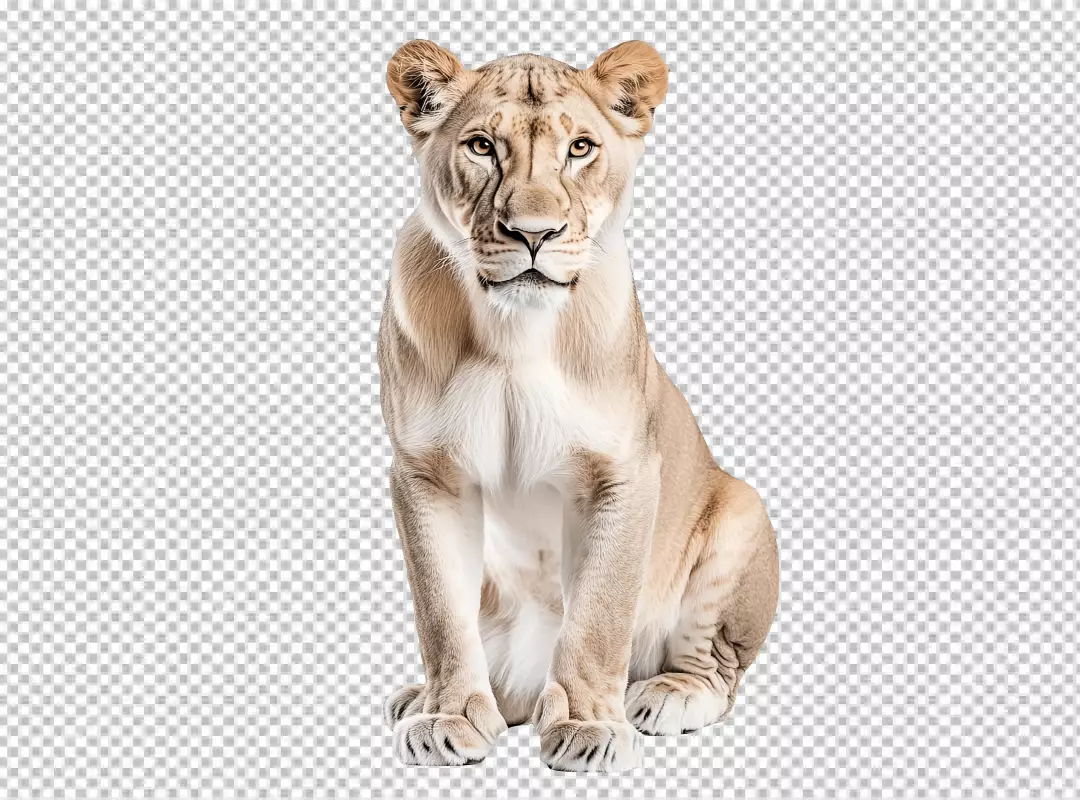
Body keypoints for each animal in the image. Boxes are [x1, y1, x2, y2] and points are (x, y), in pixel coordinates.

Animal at [378, 40, 779, 772]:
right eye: (482, 146)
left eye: (581, 148)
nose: (533, 232)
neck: (513, 332)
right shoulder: (426, 473)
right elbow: (441, 614)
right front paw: (449, 716)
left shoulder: (621, 472)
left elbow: (598, 612)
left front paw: (590, 727)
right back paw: (430, 698)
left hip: (743, 511)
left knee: (719, 667)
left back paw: (667, 695)